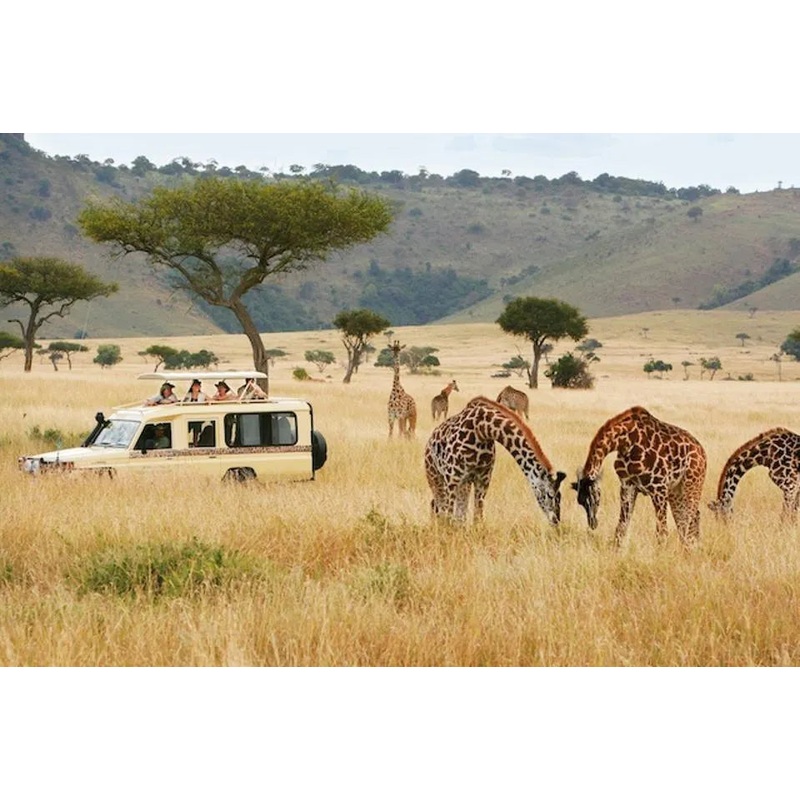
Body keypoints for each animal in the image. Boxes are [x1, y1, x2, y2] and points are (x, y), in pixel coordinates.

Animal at [424, 396, 566, 525]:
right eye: (550, 495)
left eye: (560, 496)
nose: (556, 521)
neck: (482, 430)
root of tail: (429, 441)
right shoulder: (452, 478)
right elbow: (448, 516)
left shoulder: (483, 479)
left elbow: (477, 518)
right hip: (435, 477)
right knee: (438, 507)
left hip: (464, 483)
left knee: (457, 515)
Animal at [571, 405, 707, 547]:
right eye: (580, 501)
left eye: (595, 499)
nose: (593, 523)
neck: (626, 442)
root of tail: (702, 452)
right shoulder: (628, 485)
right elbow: (621, 527)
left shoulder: (659, 487)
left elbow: (662, 532)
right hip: (675, 490)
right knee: (685, 519)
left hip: (691, 483)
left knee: (690, 517)